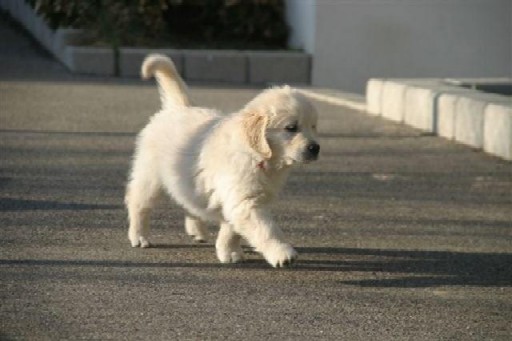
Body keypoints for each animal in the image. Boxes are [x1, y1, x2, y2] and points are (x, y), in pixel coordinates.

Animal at [126, 53, 318, 266]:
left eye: (313, 126)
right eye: (291, 128)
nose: (315, 148)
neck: (256, 156)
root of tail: (179, 107)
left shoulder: (238, 201)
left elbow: (231, 229)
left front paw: (229, 250)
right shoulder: (244, 201)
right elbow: (266, 229)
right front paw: (282, 252)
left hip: (187, 180)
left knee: (188, 201)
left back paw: (197, 231)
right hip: (150, 177)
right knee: (138, 203)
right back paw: (139, 236)